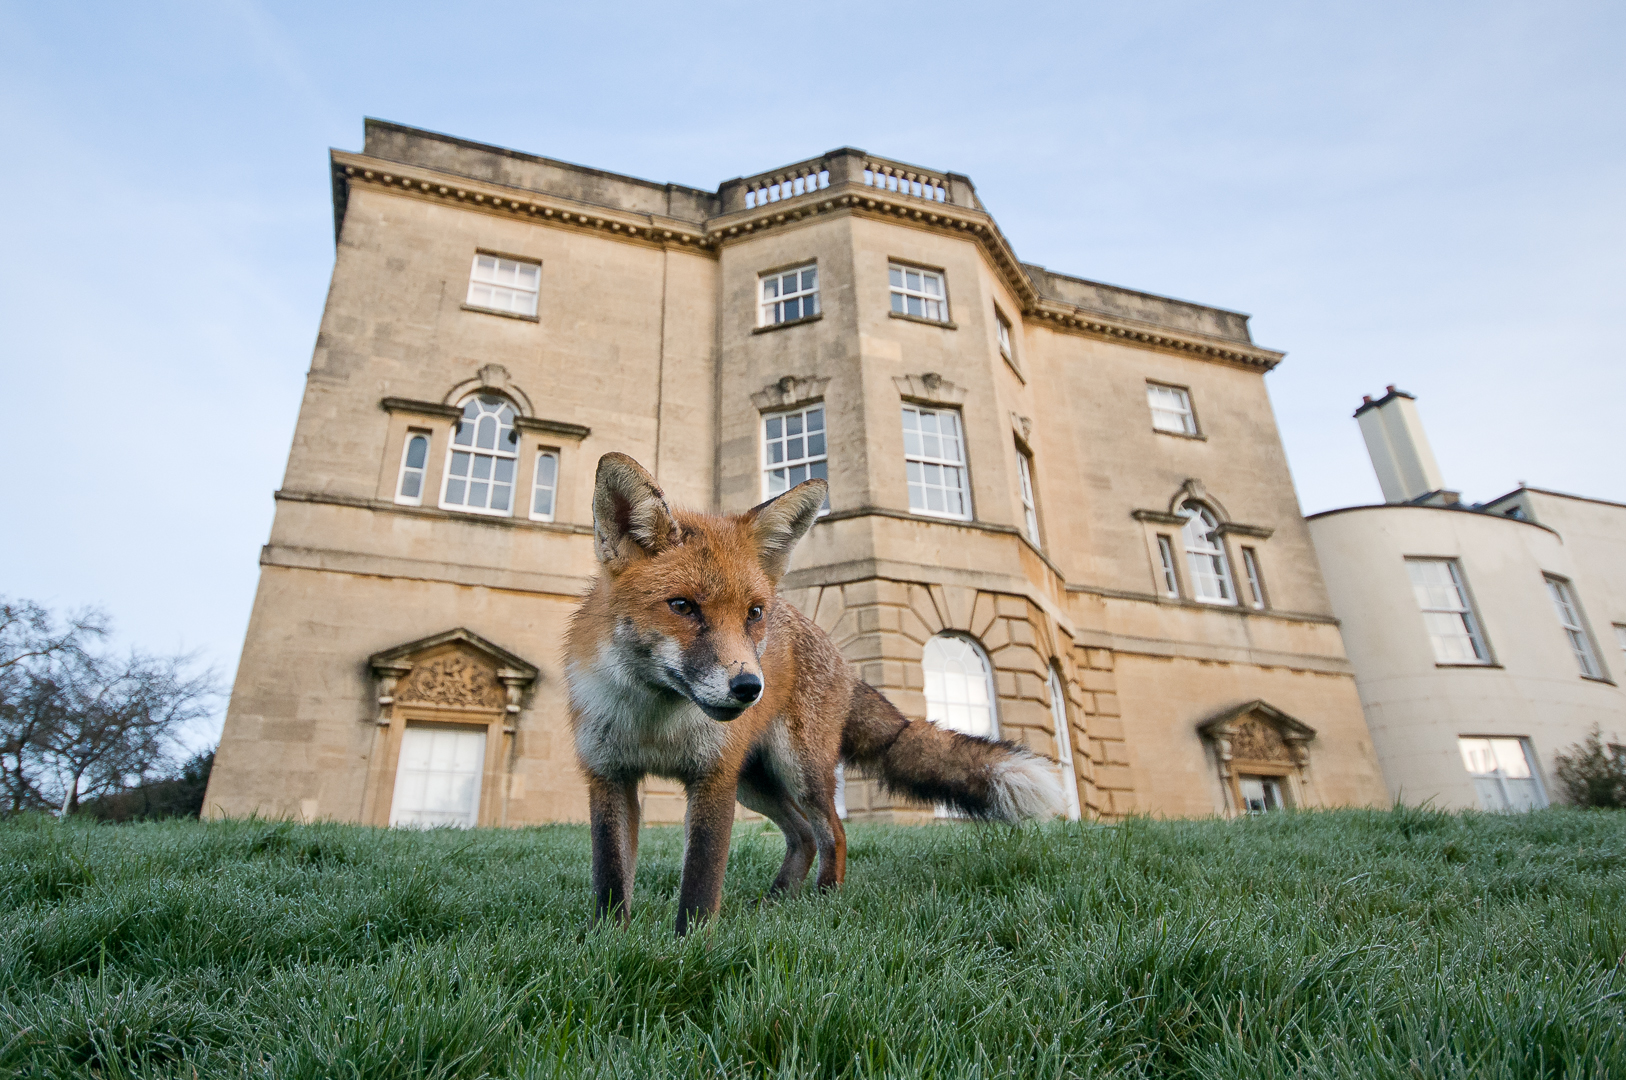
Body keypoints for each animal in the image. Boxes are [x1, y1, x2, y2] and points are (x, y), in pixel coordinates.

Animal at [562, 452, 1066, 930]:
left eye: (754, 612)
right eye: (682, 606)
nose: (750, 687)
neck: (656, 718)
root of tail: (840, 658)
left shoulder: (713, 777)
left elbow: (701, 886)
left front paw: (692, 946)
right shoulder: (608, 775)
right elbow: (610, 880)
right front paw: (610, 944)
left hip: (798, 770)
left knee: (832, 832)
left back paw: (824, 900)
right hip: (756, 783)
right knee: (802, 834)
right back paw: (775, 903)